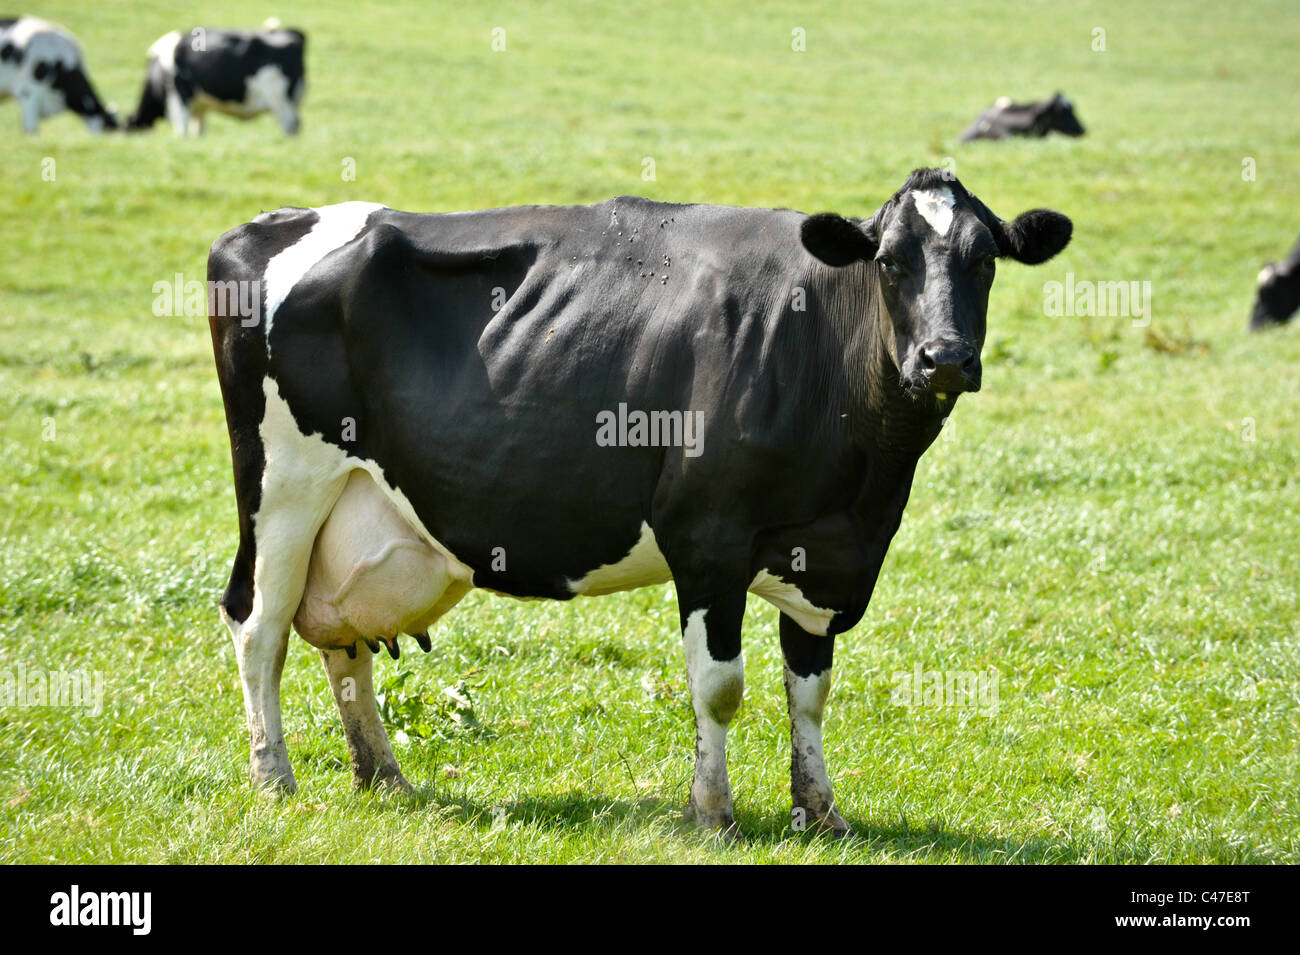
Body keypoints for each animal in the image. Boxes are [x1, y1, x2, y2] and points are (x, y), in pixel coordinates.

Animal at [129, 21, 306, 136]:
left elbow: (181, 132)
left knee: (290, 127)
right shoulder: (199, 106)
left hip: (280, 101)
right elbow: (197, 131)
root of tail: (295, 34)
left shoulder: (179, 97)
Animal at [208, 170, 1071, 836]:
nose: (944, 357)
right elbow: (720, 686)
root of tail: (268, 226)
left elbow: (811, 691)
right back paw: (275, 777)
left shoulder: (826, 556)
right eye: (891, 260)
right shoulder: (709, 538)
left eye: (985, 258)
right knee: (259, 624)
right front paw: (713, 811)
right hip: (283, 486)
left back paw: (382, 773)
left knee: (338, 637)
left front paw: (821, 811)